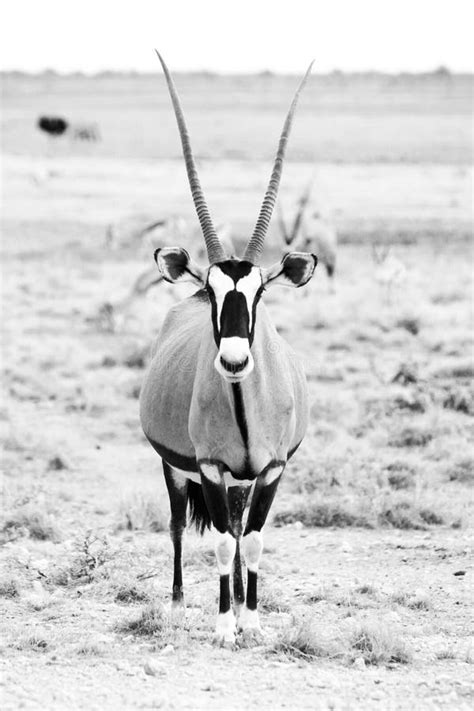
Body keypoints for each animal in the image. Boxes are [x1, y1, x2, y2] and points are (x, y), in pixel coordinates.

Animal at [141, 54, 318, 644]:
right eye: (215, 290)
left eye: (259, 291)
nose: (235, 361)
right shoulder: (212, 467)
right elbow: (218, 540)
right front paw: (223, 627)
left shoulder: (271, 469)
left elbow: (253, 538)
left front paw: (252, 621)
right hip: (176, 468)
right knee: (180, 524)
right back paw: (177, 607)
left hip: (241, 480)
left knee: (240, 529)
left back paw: (241, 602)